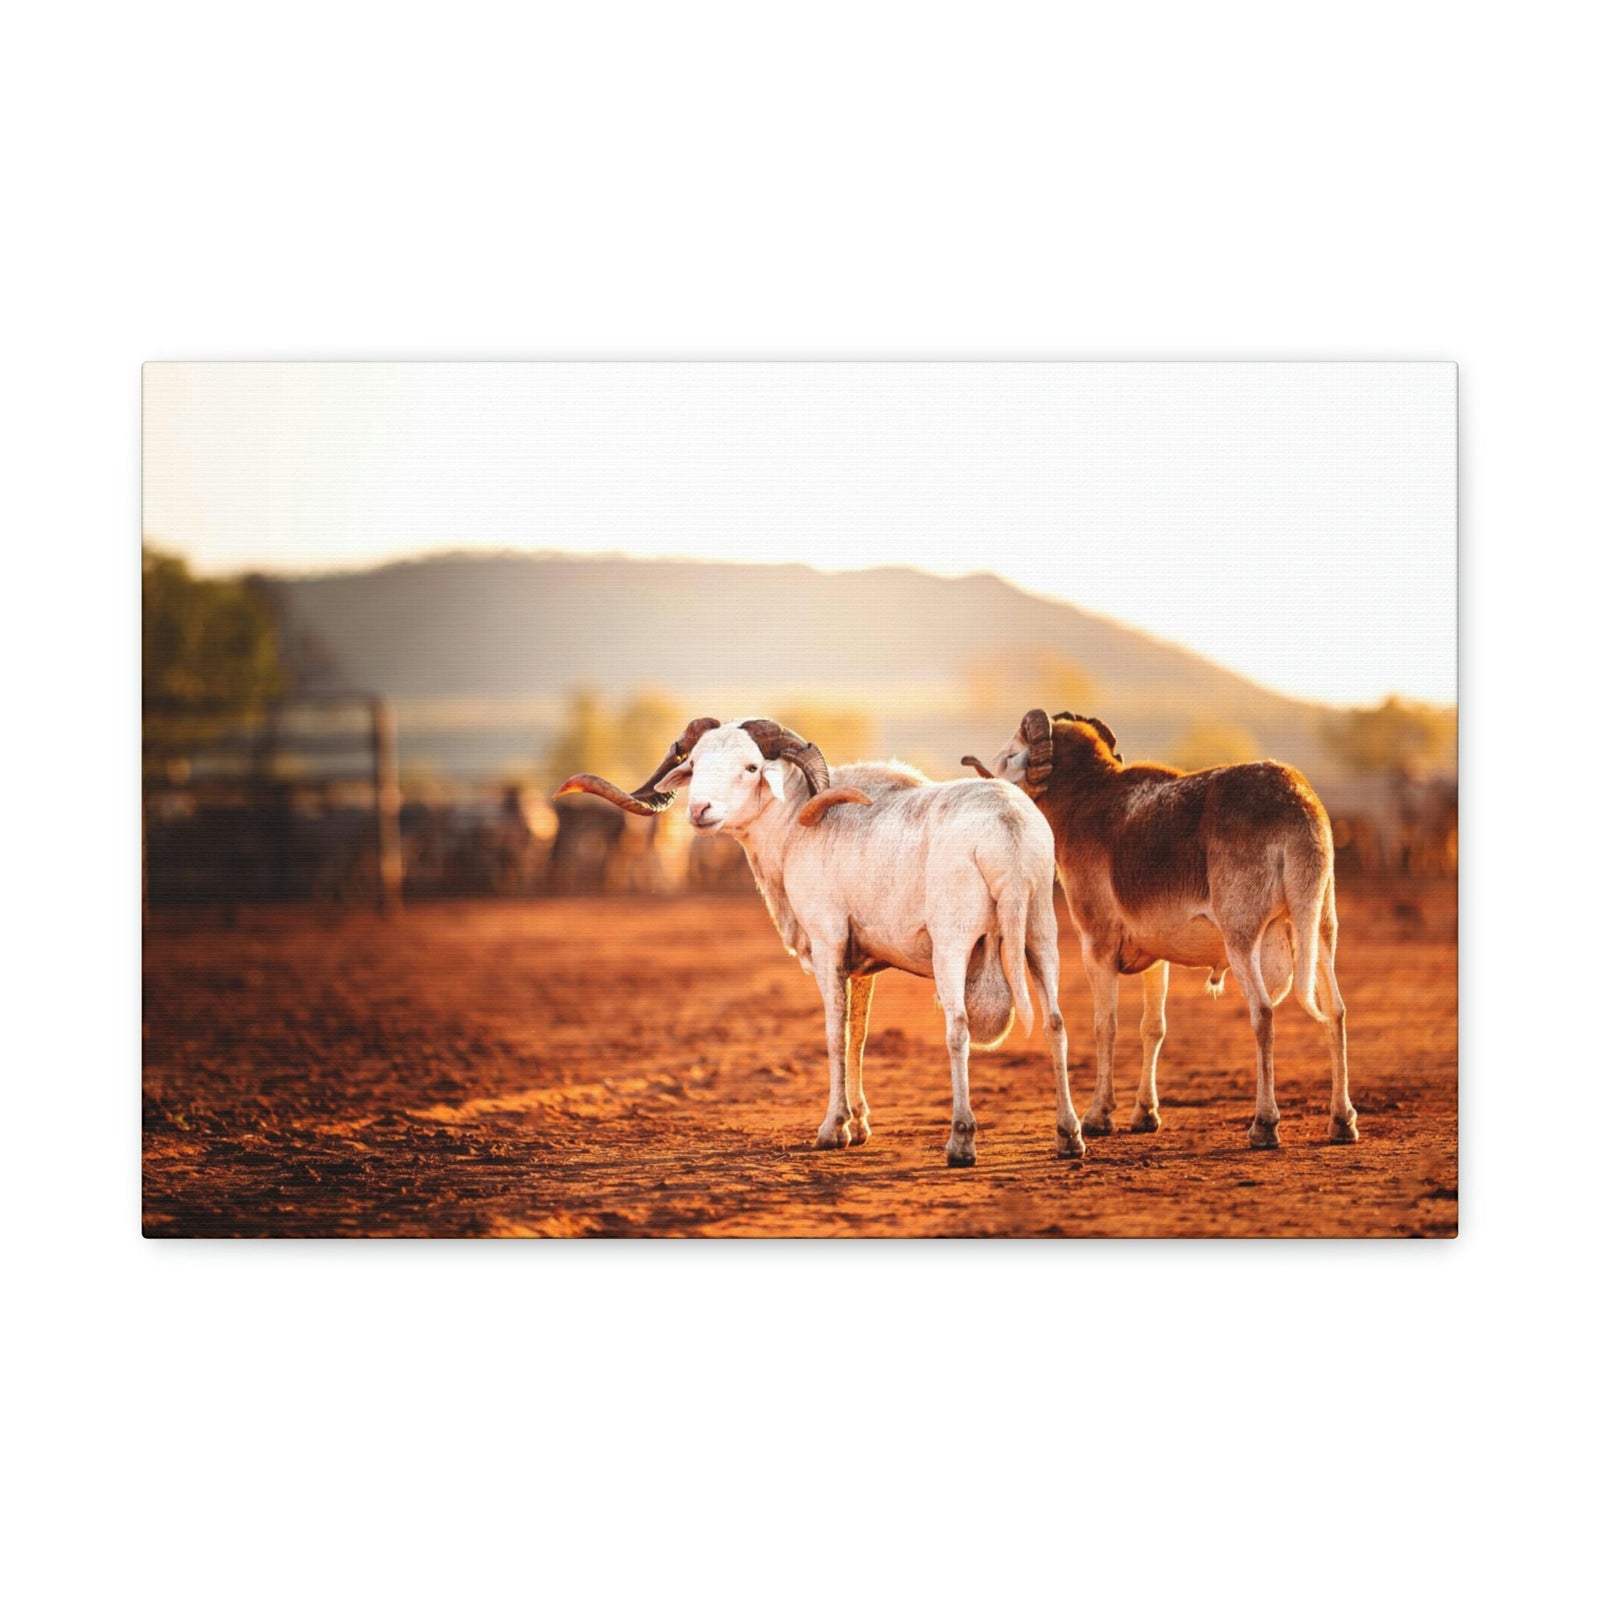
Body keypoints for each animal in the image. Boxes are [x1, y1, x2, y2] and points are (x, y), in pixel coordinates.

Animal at [558, 716, 1086, 1166]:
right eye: (697, 763)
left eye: (751, 767)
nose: (699, 810)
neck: (793, 829)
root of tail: (1007, 830)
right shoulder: (863, 964)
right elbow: (858, 1037)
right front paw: (861, 1125)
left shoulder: (829, 943)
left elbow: (835, 1036)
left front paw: (833, 1130)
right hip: (1041, 934)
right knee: (1056, 1023)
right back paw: (1069, 1137)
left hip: (954, 944)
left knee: (957, 1029)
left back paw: (960, 1143)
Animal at [964, 710, 1357, 1149]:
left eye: (1011, 754)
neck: (1086, 803)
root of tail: (1298, 809)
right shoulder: (1157, 962)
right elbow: (1153, 1028)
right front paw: (1144, 1115)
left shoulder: (1096, 949)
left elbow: (1106, 1026)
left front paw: (1099, 1116)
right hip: (1319, 932)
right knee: (1335, 1012)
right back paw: (1342, 1123)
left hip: (1243, 943)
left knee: (1264, 1014)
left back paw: (1264, 1126)